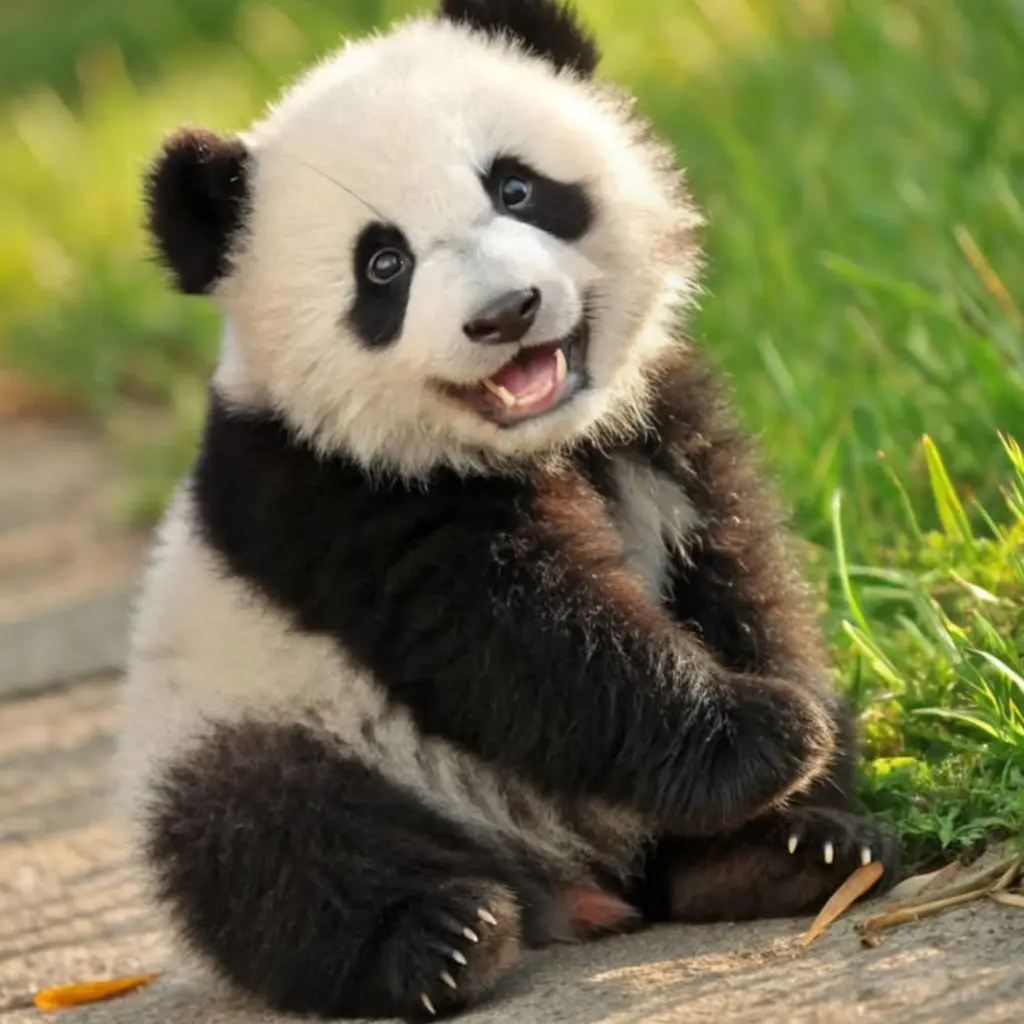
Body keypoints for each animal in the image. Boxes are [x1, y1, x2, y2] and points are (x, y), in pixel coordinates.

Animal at [118, 0, 901, 1020]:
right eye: (383, 264)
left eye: (517, 188)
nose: (505, 313)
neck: (543, 442)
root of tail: (574, 878)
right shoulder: (332, 491)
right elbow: (523, 636)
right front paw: (761, 741)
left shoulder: (662, 419)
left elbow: (741, 576)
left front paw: (810, 801)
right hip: (252, 717)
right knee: (270, 837)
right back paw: (440, 939)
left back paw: (768, 864)